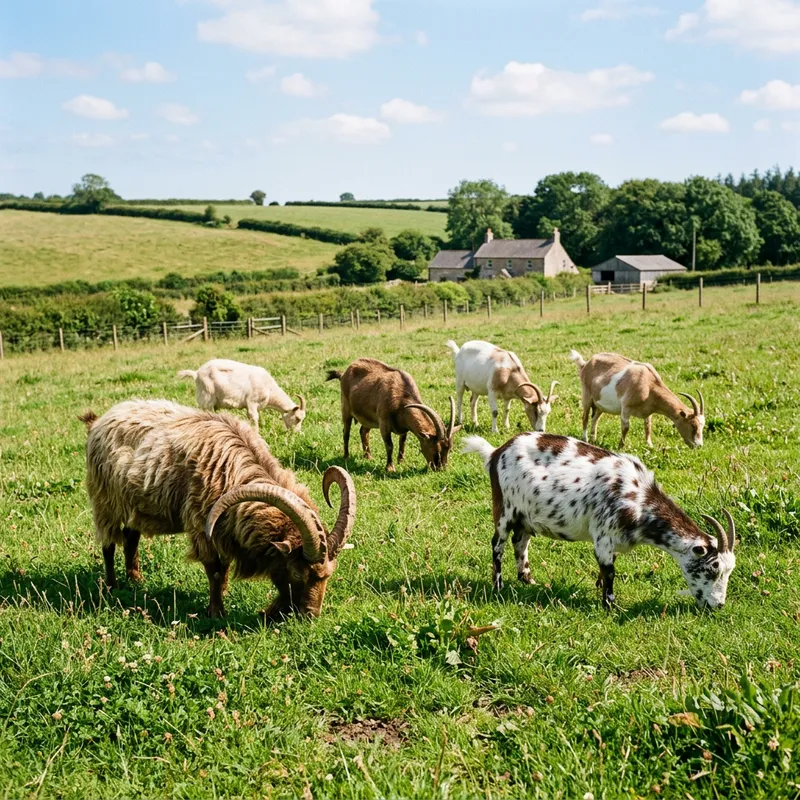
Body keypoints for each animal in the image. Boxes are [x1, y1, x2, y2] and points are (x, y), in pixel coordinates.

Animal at [80, 400, 355, 619]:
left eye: (328, 575)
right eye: (297, 573)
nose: (311, 616)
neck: (234, 472)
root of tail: (98, 422)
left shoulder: (225, 531)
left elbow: (223, 571)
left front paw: (224, 595)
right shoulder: (204, 528)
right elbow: (214, 570)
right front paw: (216, 612)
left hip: (133, 506)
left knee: (131, 538)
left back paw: (135, 580)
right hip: (105, 501)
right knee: (108, 545)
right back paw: (112, 586)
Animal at [326, 358, 460, 472]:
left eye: (449, 449)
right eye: (436, 450)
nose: (441, 469)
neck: (402, 397)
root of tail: (344, 373)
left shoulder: (405, 426)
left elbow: (403, 442)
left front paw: (401, 460)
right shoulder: (384, 423)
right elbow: (390, 445)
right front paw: (390, 467)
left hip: (368, 418)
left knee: (363, 431)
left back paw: (368, 456)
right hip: (346, 409)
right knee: (346, 433)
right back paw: (346, 457)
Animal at [463, 433, 735, 609]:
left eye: (729, 570)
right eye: (713, 567)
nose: (719, 604)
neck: (638, 498)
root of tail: (496, 452)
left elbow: (607, 569)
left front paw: (599, 590)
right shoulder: (603, 535)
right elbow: (610, 571)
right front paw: (610, 604)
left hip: (525, 516)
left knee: (520, 543)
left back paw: (528, 580)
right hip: (505, 508)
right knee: (497, 544)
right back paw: (498, 586)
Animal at [569, 350, 704, 449]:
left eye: (702, 425)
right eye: (693, 425)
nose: (699, 446)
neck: (649, 384)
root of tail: (585, 364)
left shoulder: (648, 412)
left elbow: (648, 427)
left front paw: (650, 446)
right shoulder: (625, 408)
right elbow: (626, 427)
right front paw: (621, 446)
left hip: (600, 404)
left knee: (595, 418)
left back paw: (593, 439)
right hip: (587, 396)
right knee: (585, 417)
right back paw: (585, 439)